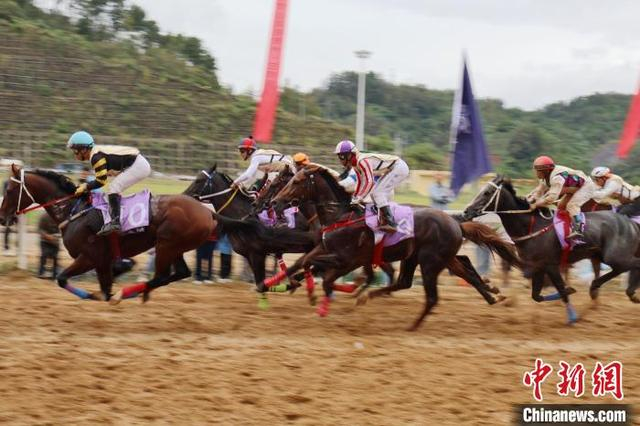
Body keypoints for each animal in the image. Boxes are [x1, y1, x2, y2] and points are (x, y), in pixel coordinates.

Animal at [0, 164, 218, 303]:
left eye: (9, 190)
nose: (2, 218)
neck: (73, 210)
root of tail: (208, 212)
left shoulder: (90, 257)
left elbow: (63, 279)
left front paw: (94, 295)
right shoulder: (102, 261)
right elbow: (104, 285)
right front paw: (118, 273)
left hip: (166, 245)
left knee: (161, 276)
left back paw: (127, 294)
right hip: (174, 247)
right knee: (179, 273)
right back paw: (138, 293)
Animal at [269, 166, 522, 330]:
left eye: (295, 182)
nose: (274, 202)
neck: (340, 215)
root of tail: (455, 222)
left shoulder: (347, 258)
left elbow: (326, 275)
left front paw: (320, 298)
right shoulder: (326, 249)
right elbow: (304, 262)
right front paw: (284, 285)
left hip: (429, 262)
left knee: (431, 295)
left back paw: (412, 324)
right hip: (422, 257)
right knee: (446, 274)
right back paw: (491, 294)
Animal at [460, 175, 640, 322]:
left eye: (487, 192)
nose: (466, 211)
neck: (531, 226)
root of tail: (630, 222)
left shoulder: (550, 264)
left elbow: (560, 288)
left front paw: (572, 316)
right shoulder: (538, 266)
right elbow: (537, 296)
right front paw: (569, 291)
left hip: (614, 256)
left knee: (631, 265)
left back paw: (626, 292)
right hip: (601, 255)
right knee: (618, 269)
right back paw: (605, 289)